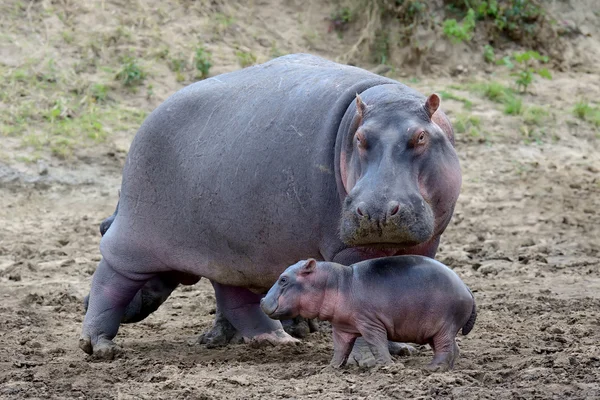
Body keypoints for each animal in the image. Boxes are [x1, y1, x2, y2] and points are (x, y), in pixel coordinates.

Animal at [260, 256, 476, 372]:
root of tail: (467, 288)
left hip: (444, 326)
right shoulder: (341, 327)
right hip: (435, 330)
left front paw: (387, 367)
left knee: (445, 348)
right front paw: (331, 368)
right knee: (453, 348)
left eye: (283, 279)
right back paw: (447, 369)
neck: (337, 282)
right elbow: (340, 349)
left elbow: (377, 344)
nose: (261, 301)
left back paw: (432, 368)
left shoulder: (370, 324)